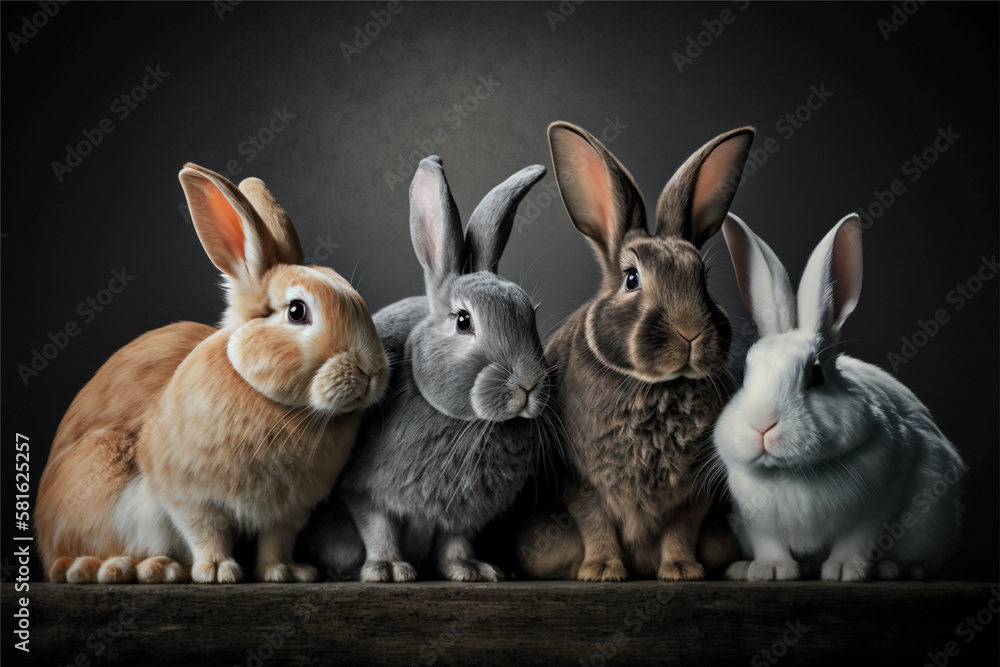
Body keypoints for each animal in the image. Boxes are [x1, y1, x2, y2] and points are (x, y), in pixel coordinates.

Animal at [35, 163, 389, 584]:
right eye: (297, 311)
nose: (372, 372)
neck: (277, 405)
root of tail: (43, 539)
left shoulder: (287, 512)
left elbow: (276, 540)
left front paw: (284, 572)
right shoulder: (189, 496)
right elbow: (206, 531)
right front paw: (218, 571)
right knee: (73, 561)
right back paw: (140, 567)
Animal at [298, 155, 553, 582]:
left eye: (530, 313)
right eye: (464, 321)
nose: (529, 384)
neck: (464, 421)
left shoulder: (464, 511)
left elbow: (455, 540)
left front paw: (472, 570)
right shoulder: (364, 490)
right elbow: (377, 526)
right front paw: (387, 570)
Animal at [515, 123, 754, 582]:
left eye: (703, 278)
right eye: (631, 278)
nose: (690, 332)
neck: (656, 386)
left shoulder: (695, 491)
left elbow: (682, 527)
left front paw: (681, 570)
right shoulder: (580, 482)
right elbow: (595, 522)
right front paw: (602, 571)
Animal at [713, 212, 966, 582]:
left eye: (816, 374)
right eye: (745, 374)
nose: (762, 426)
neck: (791, 473)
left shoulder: (879, 504)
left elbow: (857, 539)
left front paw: (846, 570)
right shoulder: (752, 519)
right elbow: (768, 542)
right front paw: (772, 570)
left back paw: (893, 568)